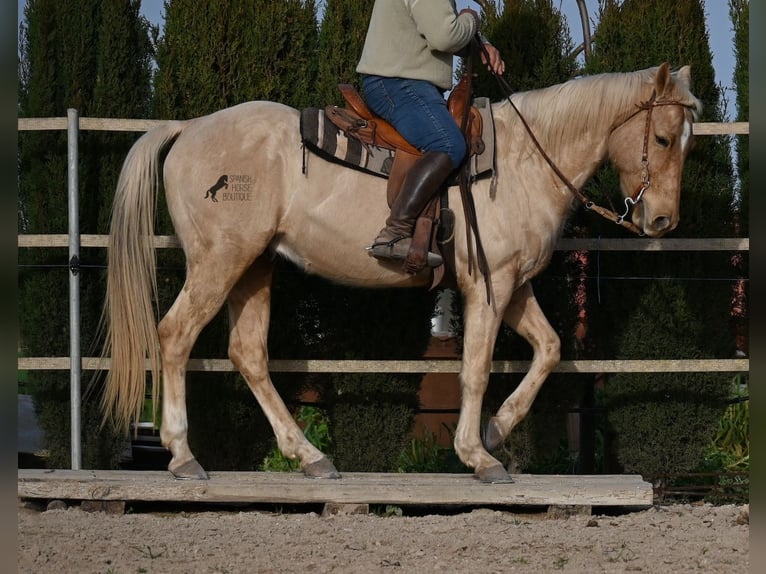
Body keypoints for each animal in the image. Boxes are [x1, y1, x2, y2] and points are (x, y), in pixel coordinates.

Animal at [102, 64, 704, 486]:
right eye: (664, 138)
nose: (663, 220)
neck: (524, 160)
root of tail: (189, 129)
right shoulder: (489, 287)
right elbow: (476, 371)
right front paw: (477, 455)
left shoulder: (514, 286)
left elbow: (551, 349)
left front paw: (496, 429)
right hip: (219, 261)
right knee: (174, 336)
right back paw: (183, 456)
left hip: (254, 267)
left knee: (248, 354)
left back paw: (310, 456)